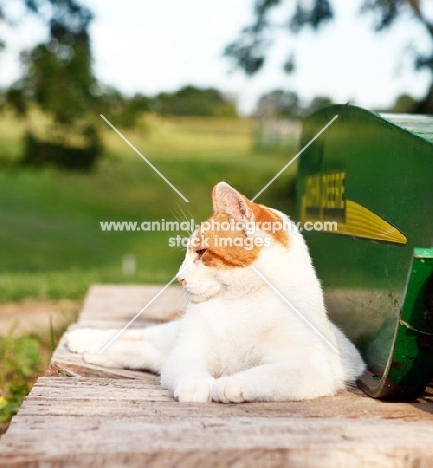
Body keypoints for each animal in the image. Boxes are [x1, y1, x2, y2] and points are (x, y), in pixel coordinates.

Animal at [67, 182, 364, 402]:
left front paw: (232, 385)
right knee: (140, 335)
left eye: (201, 252)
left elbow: (270, 374)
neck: (239, 302)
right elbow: (188, 368)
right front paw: (195, 385)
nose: (179, 278)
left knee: (145, 352)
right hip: (169, 338)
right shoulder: (188, 350)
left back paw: (98, 353)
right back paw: (86, 340)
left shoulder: (311, 369)